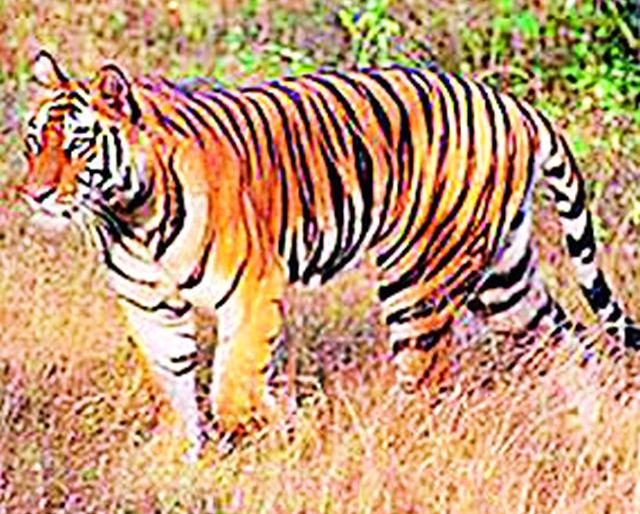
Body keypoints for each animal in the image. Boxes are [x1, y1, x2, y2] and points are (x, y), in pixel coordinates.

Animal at [20, 50, 640, 460]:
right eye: (33, 142)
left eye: (77, 144)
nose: (34, 193)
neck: (130, 216)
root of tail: (511, 103)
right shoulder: (150, 306)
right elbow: (172, 383)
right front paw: (180, 459)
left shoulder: (252, 287)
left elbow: (233, 385)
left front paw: (285, 421)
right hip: (504, 282)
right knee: (571, 343)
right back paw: (597, 424)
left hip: (420, 279)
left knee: (427, 383)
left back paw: (394, 445)